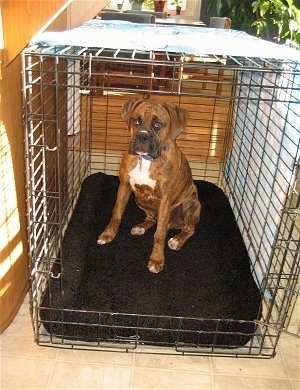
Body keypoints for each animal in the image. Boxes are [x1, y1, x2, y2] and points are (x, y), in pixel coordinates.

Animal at [98, 99, 200, 272]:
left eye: (158, 124)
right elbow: (116, 214)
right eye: (136, 121)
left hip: (190, 202)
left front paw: (156, 260)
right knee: (153, 219)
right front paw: (108, 234)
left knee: (187, 229)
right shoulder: (124, 186)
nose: (142, 136)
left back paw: (177, 240)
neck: (145, 160)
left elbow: (159, 235)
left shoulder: (165, 198)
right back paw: (141, 227)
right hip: (140, 200)